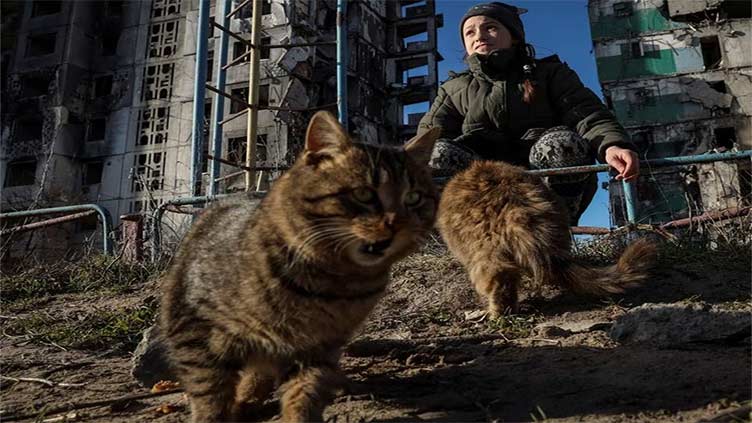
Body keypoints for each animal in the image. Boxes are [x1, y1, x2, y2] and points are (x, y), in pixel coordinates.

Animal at [159, 111, 440, 422]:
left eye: (413, 198)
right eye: (364, 194)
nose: (397, 223)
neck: (332, 283)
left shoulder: (318, 347)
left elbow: (305, 390)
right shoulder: (192, 327)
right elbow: (209, 392)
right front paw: (215, 414)